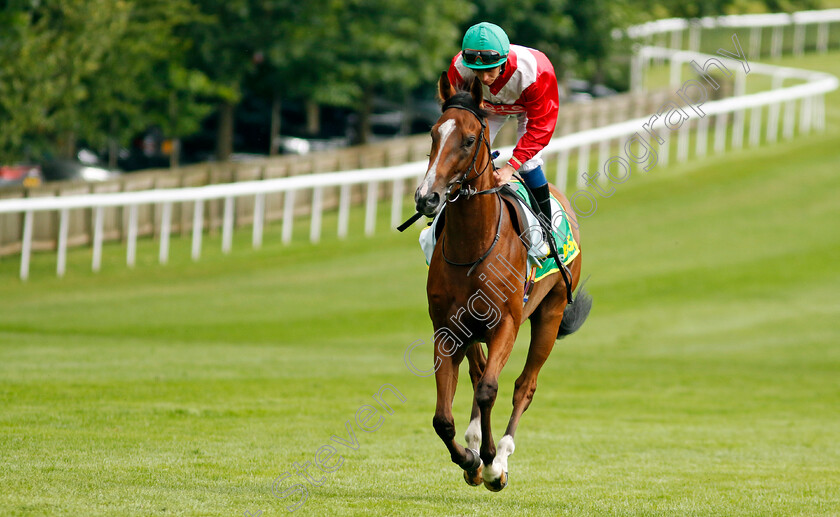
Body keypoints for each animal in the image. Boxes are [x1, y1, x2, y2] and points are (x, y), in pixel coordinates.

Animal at [414, 70, 592, 490]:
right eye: (433, 133)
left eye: (468, 139)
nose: (427, 197)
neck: (472, 245)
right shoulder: (447, 328)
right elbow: (443, 417)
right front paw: (469, 458)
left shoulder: (506, 323)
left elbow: (489, 390)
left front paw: (492, 462)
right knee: (477, 371)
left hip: (550, 314)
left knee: (523, 385)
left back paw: (503, 452)